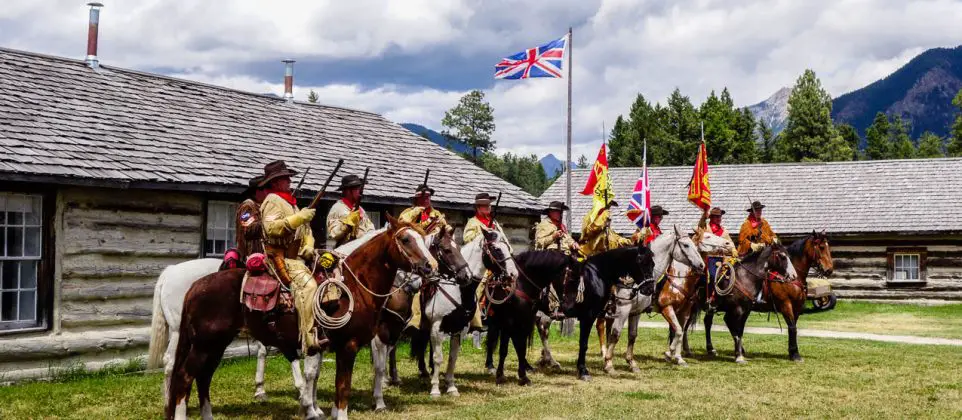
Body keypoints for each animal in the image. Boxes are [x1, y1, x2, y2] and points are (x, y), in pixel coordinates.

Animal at [165, 217, 436, 420]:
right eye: (405, 239)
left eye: (426, 240)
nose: (430, 266)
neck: (355, 286)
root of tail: (195, 286)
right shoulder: (347, 347)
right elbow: (342, 388)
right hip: (203, 345)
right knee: (184, 378)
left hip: (216, 345)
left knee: (203, 378)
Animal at [368, 228, 516, 408]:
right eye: (496, 249)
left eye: (507, 248)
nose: (513, 274)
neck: (458, 290)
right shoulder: (437, 328)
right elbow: (438, 358)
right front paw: (435, 389)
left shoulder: (459, 330)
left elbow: (452, 358)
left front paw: (451, 387)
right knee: (381, 350)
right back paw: (383, 382)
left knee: (390, 349)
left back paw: (393, 379)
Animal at [484, 251, 572, 386]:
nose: (565, 308)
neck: (520, 285)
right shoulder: (508, 323)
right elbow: (504, 349)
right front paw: (500, 376)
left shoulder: (525, 322)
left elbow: (521, 348)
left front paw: (523, 376)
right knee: (492, 341)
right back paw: (491, 367)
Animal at [696, 231, 832, 362]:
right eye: (821, 247)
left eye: (827, 247)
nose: (829, 270)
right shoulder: (786, 305)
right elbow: (792, 327)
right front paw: (795, 354)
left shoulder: (797, 308)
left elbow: (793, 327)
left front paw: (792, 352)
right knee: (710, 323)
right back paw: (712, 349)